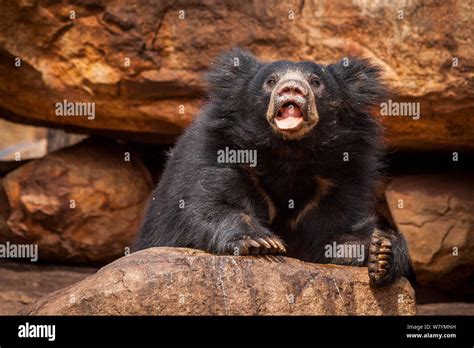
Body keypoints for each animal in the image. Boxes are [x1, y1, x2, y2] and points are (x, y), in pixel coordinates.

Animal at [134, 47, 412, 286]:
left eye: (315, 81)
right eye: (271, 81)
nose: (292, 88)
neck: (289, 152)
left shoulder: (342, 174)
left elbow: (336, 231)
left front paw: (382, 251)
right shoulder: (219, 153)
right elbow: (208, 207)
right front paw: (261, 241)